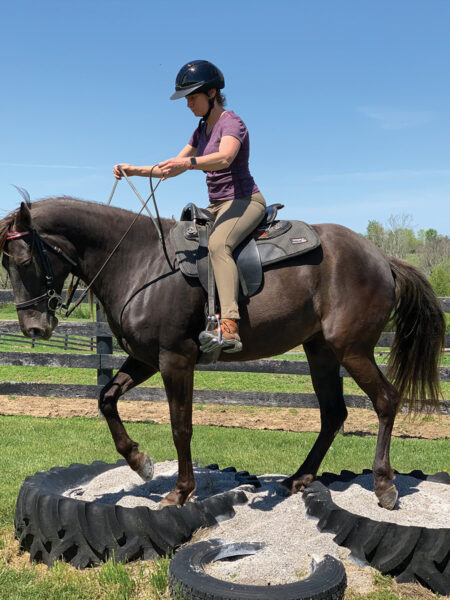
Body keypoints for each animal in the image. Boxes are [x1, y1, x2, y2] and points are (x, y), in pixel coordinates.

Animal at [0, 199, 442, 508]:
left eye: (24, 259)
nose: (33, 327)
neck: (141, 263)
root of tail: (381, 257)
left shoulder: (175, 360)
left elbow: (181, 427)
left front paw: (181, 491)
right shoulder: (145, 358)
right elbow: (106, 398)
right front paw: (140, 462)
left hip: (352, 350)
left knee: (386, 400)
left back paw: (384, 485)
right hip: (320, 352)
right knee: (333, 414)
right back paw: (300, 478)